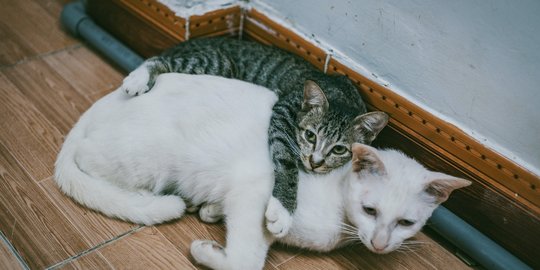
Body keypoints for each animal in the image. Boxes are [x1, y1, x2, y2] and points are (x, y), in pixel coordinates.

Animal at [52, 73, 470, 268]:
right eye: (371, 210)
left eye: (406, 223)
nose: (381, 244)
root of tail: (106, 99)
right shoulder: (253, 195)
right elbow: (244, 260)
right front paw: (207, 251)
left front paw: (209, 211)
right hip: (146, 161)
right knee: (89, 161)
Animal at [118, 37, 388, 235]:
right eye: (310, 135)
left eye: (340, 149)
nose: (315, 161)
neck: (341, 95)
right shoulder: (282, 112)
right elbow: (287, 163)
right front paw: (283, 211)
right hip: (218, 63)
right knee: (159, 60)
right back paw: (138, 78)